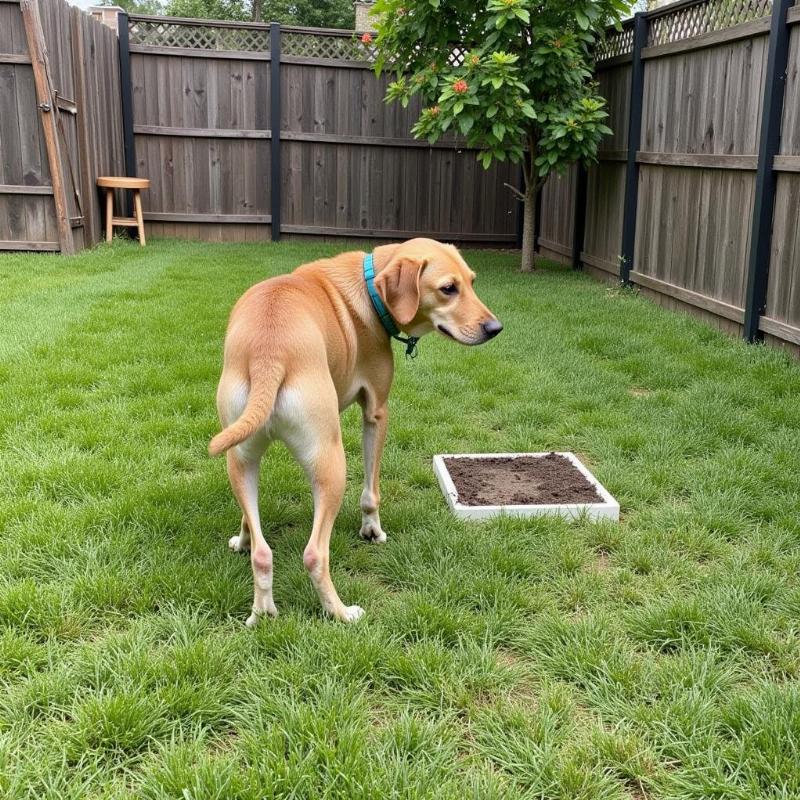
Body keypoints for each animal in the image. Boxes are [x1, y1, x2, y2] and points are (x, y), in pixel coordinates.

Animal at [209, 238, 504, 624]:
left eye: (471, 282)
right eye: (448, 289)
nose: (495, 328)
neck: (369, 287)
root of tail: (268, 354)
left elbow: (249, 518)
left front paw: (241, 540)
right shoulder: (376, 414)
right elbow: (370, 492)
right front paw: (372, 530)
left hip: (240, 457)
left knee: (263, 552)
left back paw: (262, 612)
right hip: (331, 462)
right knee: (315, 554)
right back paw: (341, 612)